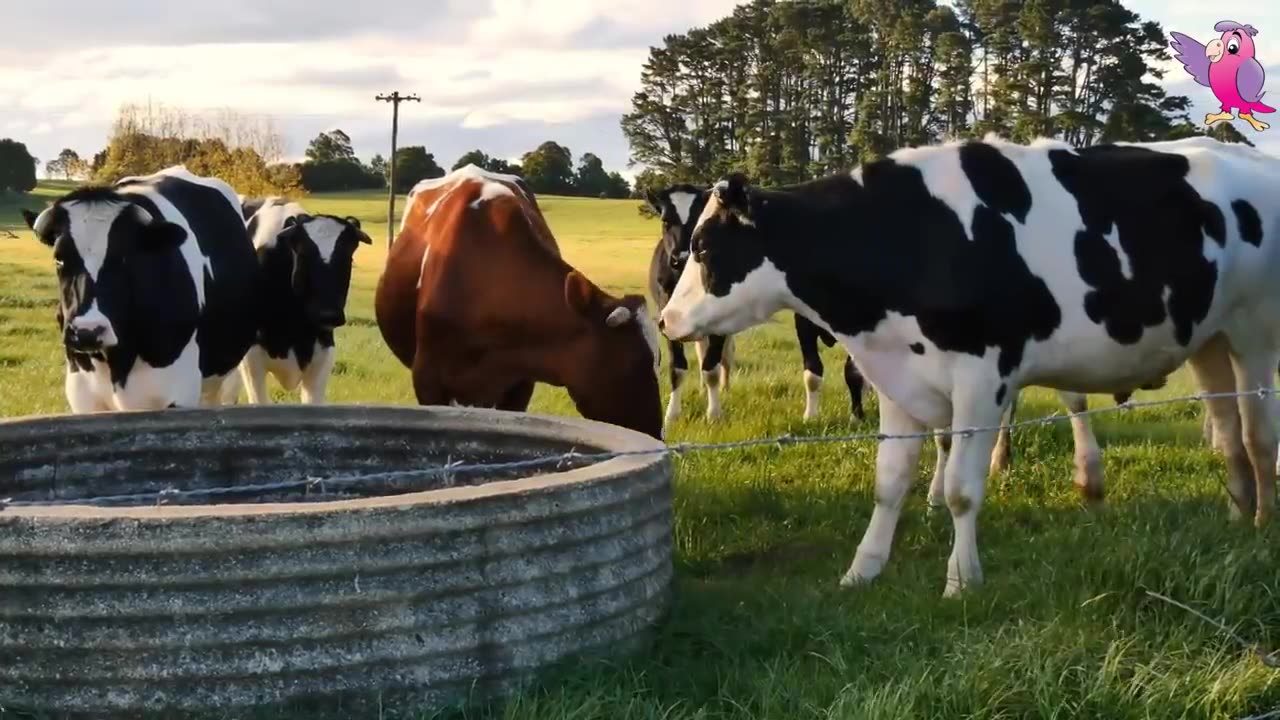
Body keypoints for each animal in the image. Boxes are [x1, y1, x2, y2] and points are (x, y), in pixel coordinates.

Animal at [20, 163, 257, 409]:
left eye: (125, 257)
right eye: (59, 259)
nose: (87, 332)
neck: (119, 359)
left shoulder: (177, 391)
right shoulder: (83, 393)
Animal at [645, 181, 865, 425]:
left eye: (697, 220)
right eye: (666, 220)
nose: (682, 257)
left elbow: (852, 371)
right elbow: (678, 368)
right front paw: (672, 415)